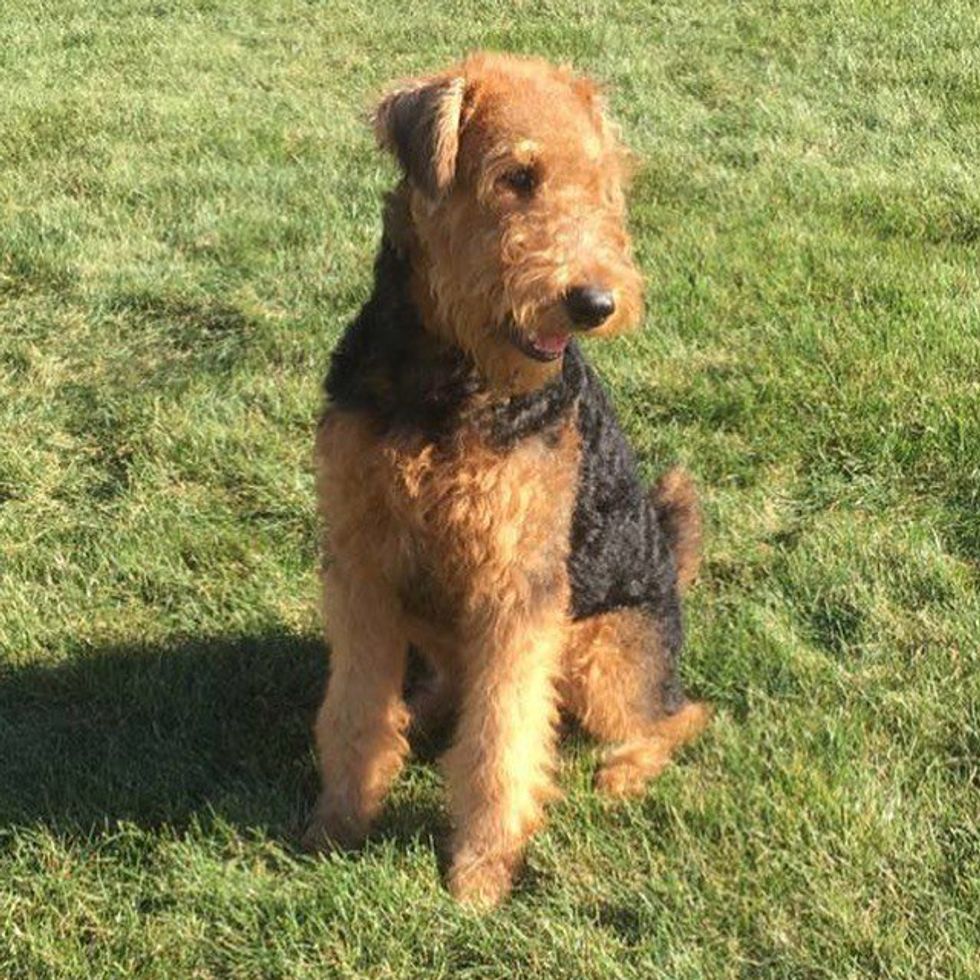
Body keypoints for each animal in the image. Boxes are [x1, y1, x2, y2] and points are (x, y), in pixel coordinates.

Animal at [303, 51, 710, 907]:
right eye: (517, 176)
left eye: (599, 182)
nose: (595, 302)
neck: (445, 384)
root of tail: (669, 568)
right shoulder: (360, 564)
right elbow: (354, 710)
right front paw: (336, 821)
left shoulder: (515, 586)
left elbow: (502, 741)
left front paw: (482, 872)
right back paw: (421, 712)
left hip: (598, 653)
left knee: (676, 715)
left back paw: (624, 772)